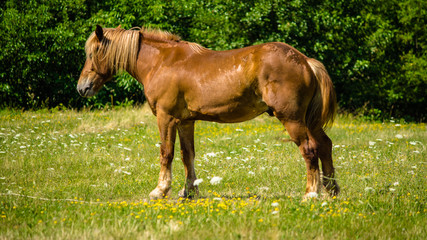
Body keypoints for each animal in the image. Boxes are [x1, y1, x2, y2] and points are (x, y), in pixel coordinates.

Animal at [77, 25, 342, 200]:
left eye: (93, 53)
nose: (82, 88)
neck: (161, 62)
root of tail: (305, 61)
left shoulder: (166, 118)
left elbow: (166, 153)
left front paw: (160, 190)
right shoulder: (185, 121)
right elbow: (187, 155)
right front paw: (189, 191)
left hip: (292, 119)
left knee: (309, 149)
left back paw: (310, 194)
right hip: (309, 121)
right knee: (325, 146)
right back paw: (331, 190)